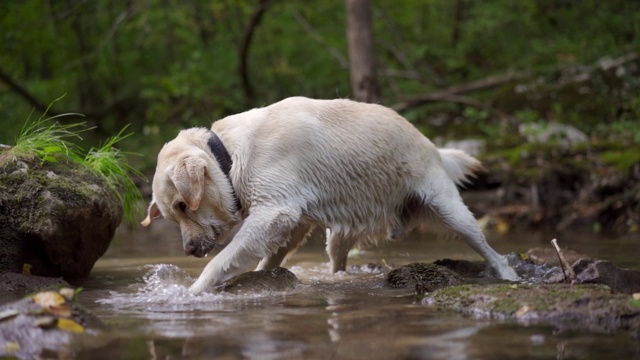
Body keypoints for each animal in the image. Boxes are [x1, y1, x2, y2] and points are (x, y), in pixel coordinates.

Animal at [141, 97, 520, 294]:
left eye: (183, 205)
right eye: (173, 214)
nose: (189, 250)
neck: (229, 157)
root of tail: (434, 147)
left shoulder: (275, 211)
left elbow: (221, 260)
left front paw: (191, 293)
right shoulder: (291, 221)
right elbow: (267, 258)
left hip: (448, 209)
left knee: (487, 247)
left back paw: (508, 275)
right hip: (339, 234)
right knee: (339, 261)